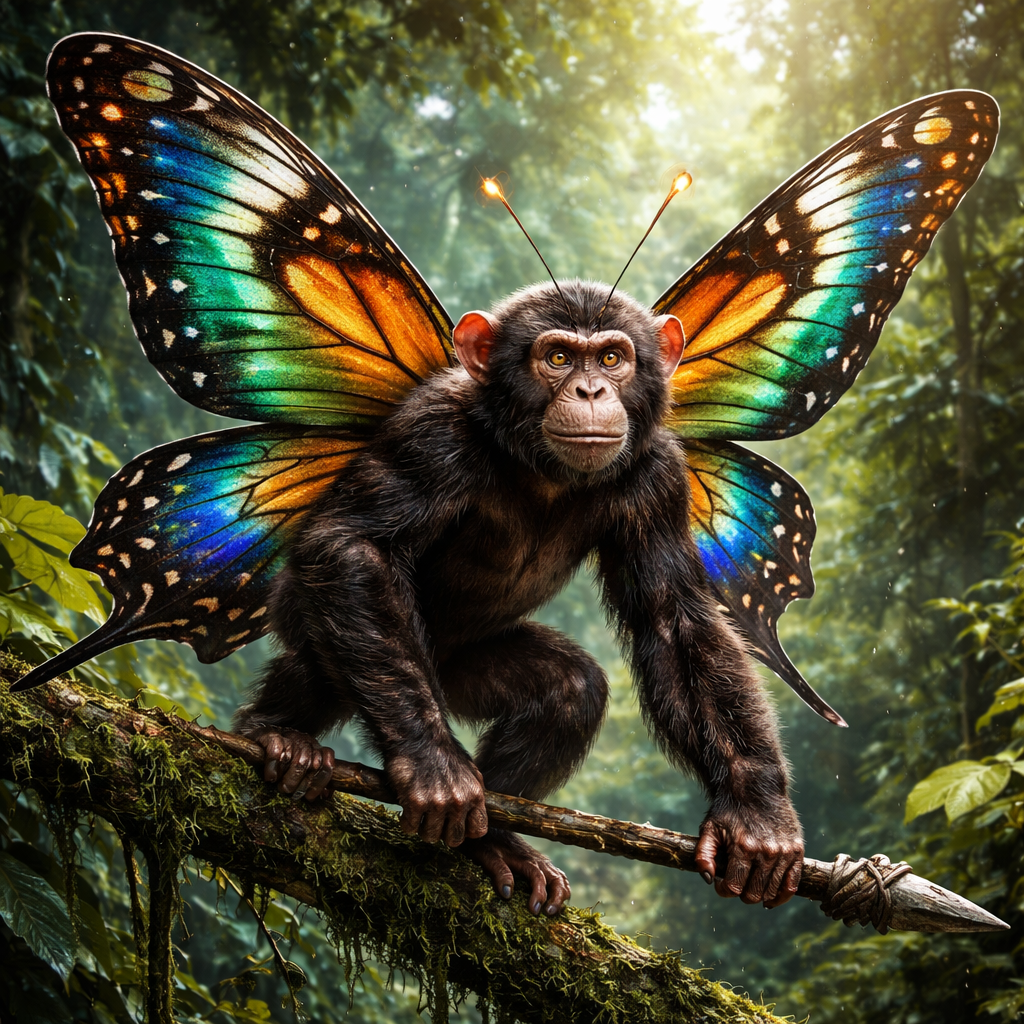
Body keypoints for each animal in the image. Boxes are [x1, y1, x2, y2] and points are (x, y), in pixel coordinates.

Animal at [233, 278, 804, 918]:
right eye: (557, 357)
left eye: (612, 357)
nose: (589, 389)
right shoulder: (432, 434)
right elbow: (356, 545)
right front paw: (433, 765)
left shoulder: (659, 476)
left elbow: (674, 619)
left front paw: (756, 813)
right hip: (331, 624)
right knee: (327, 649)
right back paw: (278, 735)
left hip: (460, 672)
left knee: (572, 690)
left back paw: (495, 841)